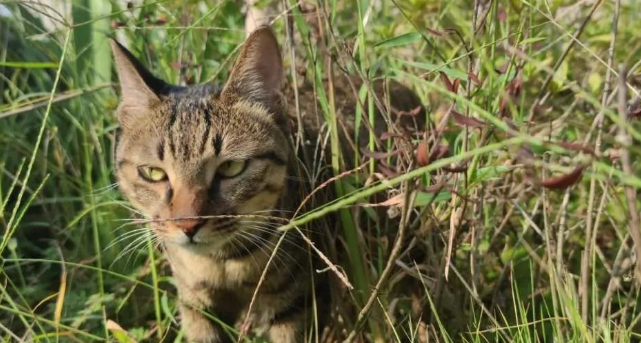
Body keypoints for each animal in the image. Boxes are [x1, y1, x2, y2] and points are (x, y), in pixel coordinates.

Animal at [111, 25, 420, 342]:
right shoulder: (197, 306)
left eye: (231, 167)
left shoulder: (298, 303)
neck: (223, 262)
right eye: (153, 173)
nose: (188, 226)